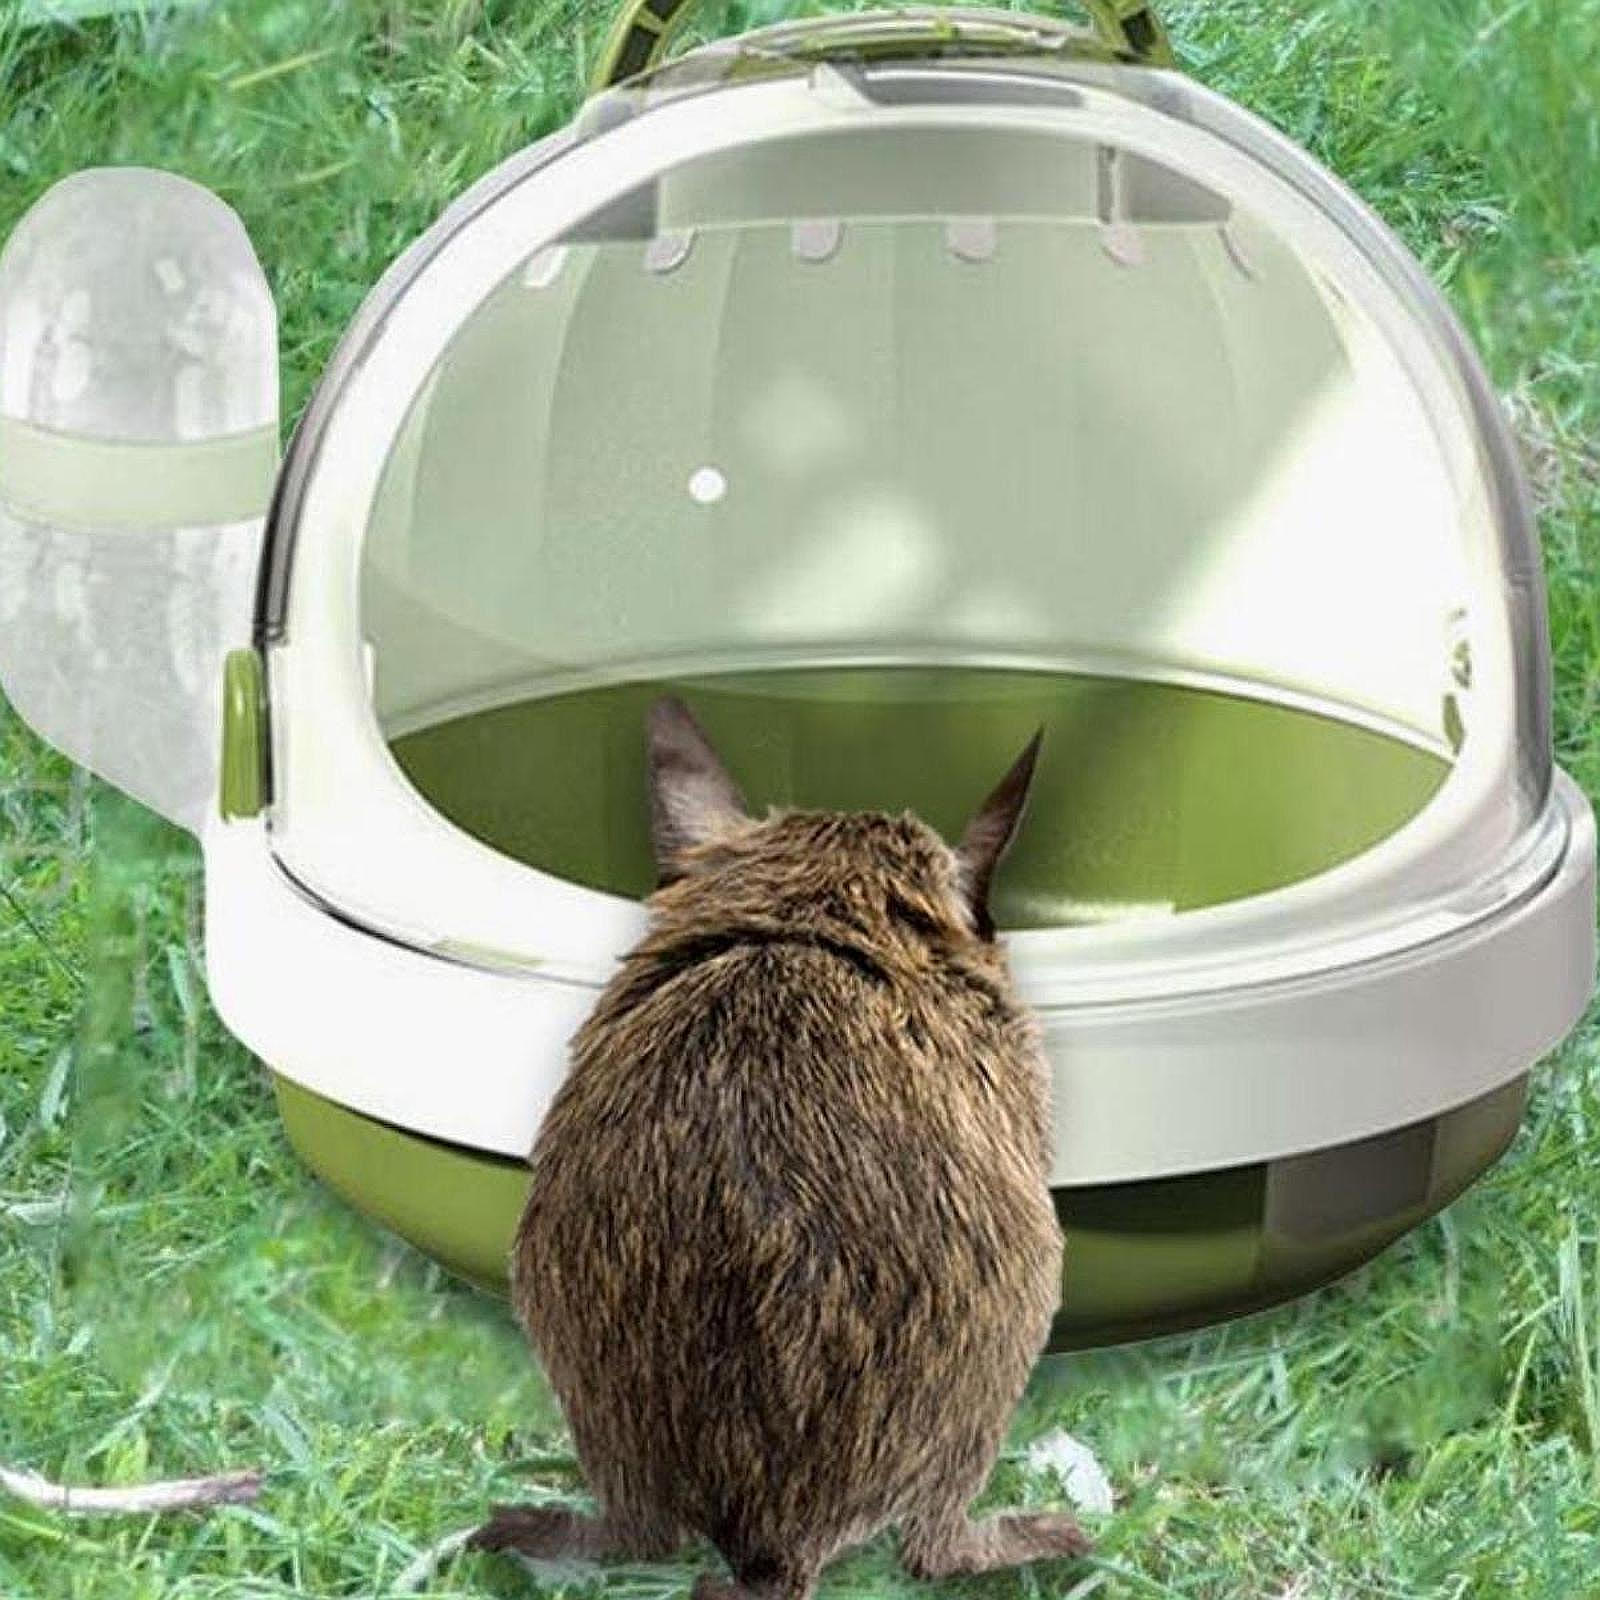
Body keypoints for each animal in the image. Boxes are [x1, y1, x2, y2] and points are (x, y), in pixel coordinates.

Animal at [471, 695, 1084, 1598]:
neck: (811, 913)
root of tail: (779, 1540)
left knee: (636, 1533)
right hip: (1006, 1350)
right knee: (930, 1548)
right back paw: (1048, 1537)